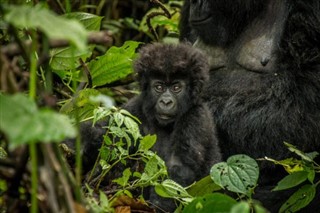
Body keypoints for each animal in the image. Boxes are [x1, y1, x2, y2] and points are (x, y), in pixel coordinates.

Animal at [124, 42, 221, 210]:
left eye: (176, 88)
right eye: (159, 87)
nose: (166, 101)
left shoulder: (196, 117)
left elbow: (179, 166)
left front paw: (158, 205)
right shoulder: (134, 108)